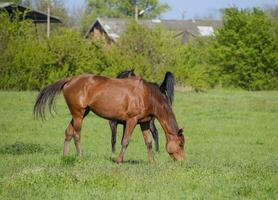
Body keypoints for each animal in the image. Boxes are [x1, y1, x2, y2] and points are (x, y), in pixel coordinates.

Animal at [33, 73, 186, 162]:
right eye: (180, 144)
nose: (183, 162)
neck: (147, 94)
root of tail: (70, 80)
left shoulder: (144, 123)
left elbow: (148, 142)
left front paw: (152, 162)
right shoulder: (131, 121)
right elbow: (125, 141)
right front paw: (119, 160)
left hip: (81, 113)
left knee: (68, 132)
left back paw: (65, 156)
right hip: (78, 115)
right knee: (76, 135)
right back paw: (80, 156)